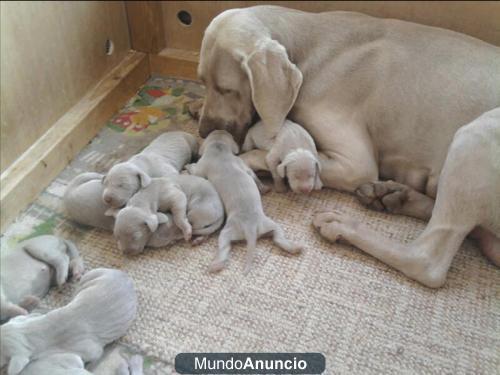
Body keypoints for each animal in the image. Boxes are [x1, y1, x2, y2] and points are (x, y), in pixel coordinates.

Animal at [185, 131, 300, 274]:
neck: (219, 149)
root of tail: (251, 229)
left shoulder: (201, 167)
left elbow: (195, 170)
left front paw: (188, 166)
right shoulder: (243, 165)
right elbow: (253, 176)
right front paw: (264, 188)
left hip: (227, 232)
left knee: (224, 248)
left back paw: (215, 265)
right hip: (271, 225)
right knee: (278, 238)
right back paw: (295, 248)